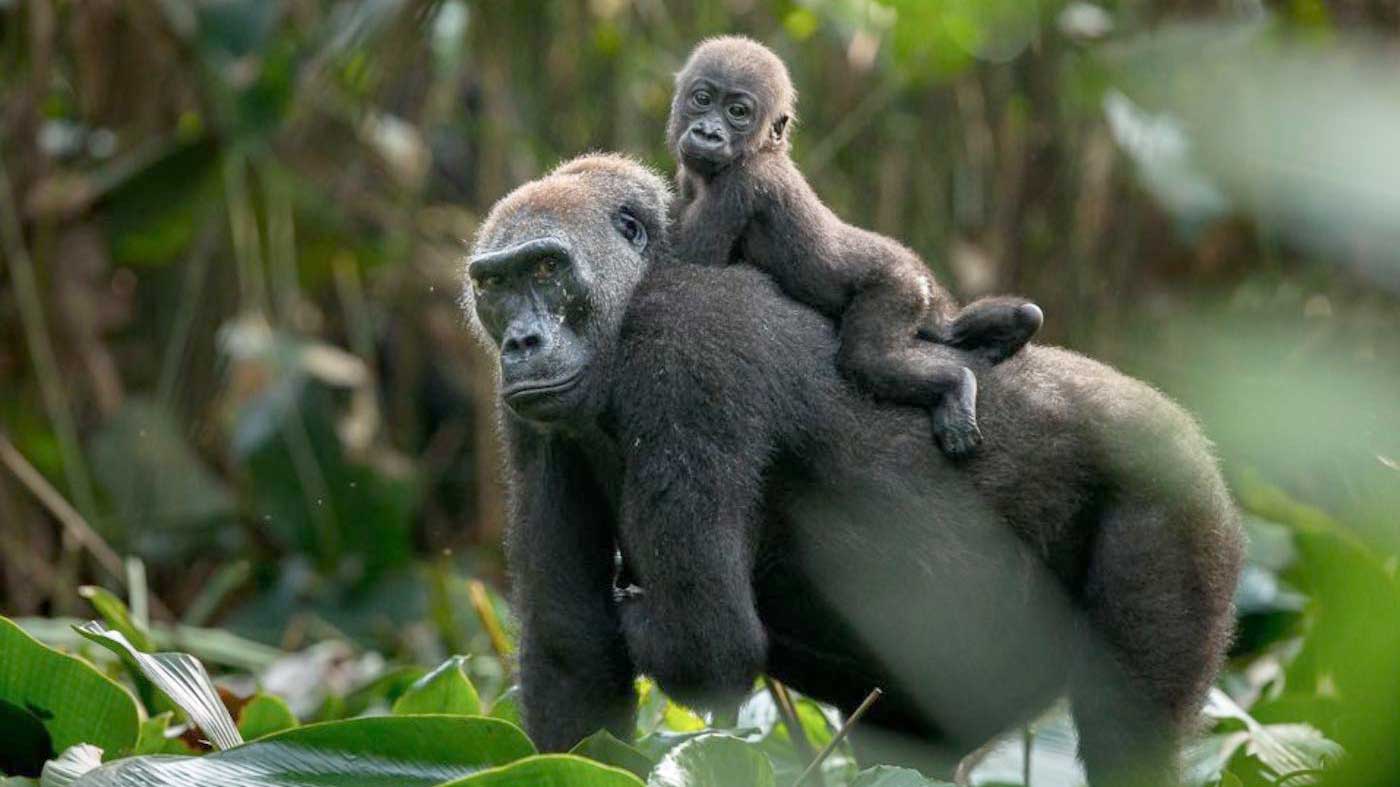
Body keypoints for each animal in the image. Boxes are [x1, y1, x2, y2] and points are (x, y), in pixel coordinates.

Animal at [464, 149, 1243, 778]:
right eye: (495, 285)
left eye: (546, 269)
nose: (522, 343)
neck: (634, 298)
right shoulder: (526, 415)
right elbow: (574, 655)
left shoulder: (686, 347)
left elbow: (706, 643)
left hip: (1178, 501)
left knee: (1129, 738)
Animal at [672, 35, 1047, 453]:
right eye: (702, 99)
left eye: (738, 112)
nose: (708, 133)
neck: (763, 149)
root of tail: (918, 275)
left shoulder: (739, 183)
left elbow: (695, 263)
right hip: (925, 298)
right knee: (947, 331)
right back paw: (1013, 327)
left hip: (899, 288)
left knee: (868, 360)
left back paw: (957, 383)